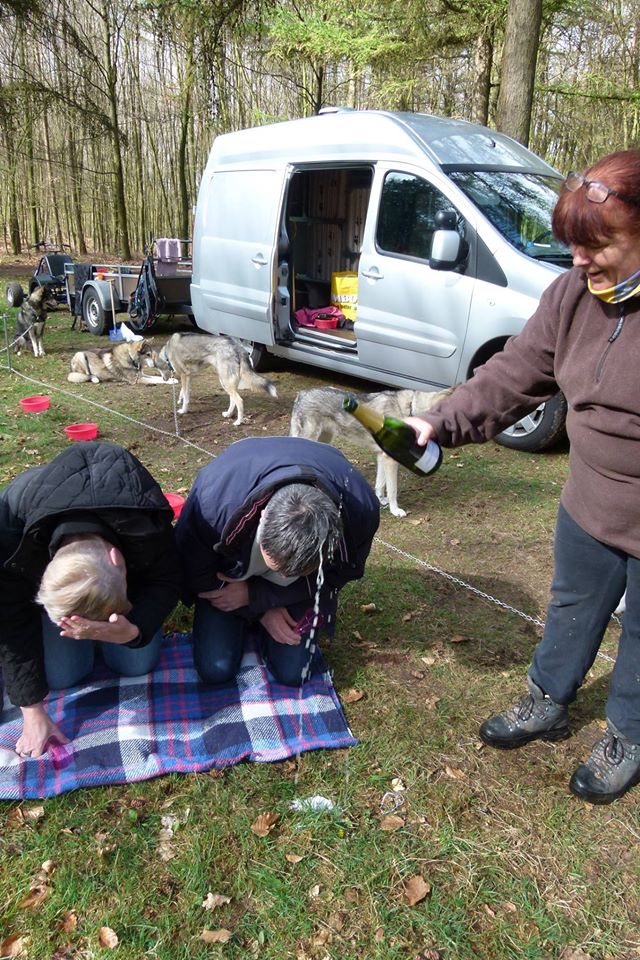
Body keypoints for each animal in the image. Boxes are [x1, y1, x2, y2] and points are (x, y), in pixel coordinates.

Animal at [290, 384, 450, 516]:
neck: (410, 409)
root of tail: (301, 394)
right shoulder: (390, 460)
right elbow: (392, 490)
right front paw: (395, 510)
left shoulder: (382, 456)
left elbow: (380, 484)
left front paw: (380, 500)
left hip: (323, 440)